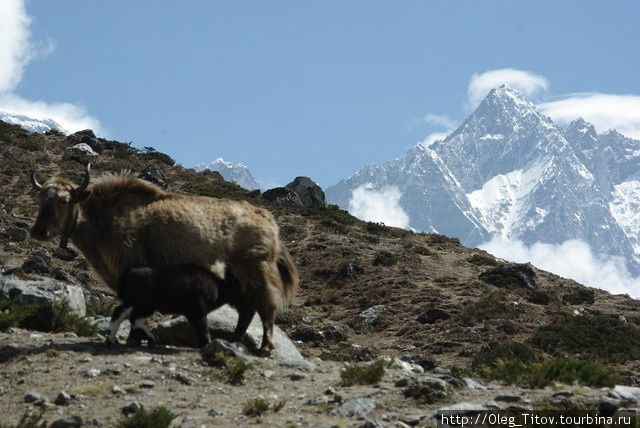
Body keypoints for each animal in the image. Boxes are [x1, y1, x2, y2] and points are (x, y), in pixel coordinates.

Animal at [106, 264, 246, 348]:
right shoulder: (198, 309)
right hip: (146, 304)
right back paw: (151, 337)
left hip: (135, 302)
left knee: (120, 312)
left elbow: (199, 326)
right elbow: (203, 326)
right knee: (133, 317)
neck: (218, 285)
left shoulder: (191, 313)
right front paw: (206, 344)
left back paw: (111, 339)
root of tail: (129, 272)